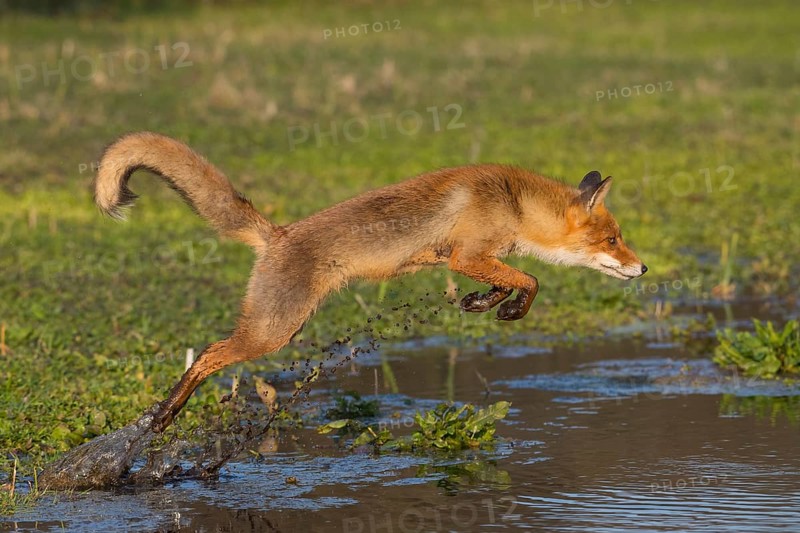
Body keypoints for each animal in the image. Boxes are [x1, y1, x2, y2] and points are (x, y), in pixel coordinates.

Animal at [94, 132, 647, 432]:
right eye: (614, 239)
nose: (643, 269)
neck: (513, 202)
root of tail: (276, 234)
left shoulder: (469, 259)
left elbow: (508, 280)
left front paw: (484, 302)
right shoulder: (466, 254)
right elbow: (530, 279)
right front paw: (508, 306)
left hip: (280, 327)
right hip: (272, 331)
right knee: (208, 353)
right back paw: (165, 413)